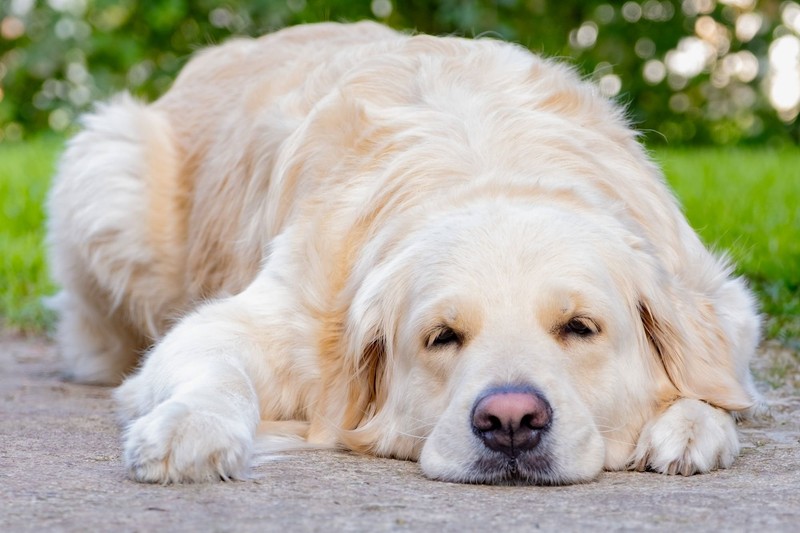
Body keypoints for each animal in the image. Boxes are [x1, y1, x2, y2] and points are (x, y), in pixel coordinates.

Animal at [45, 21, 764, 486]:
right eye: (441, 336)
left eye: (579, 328)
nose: (511, 421)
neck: (490, 166)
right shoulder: (254, 323)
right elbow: (215, 369)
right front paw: (191, 430)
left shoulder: (722, 303)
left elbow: (718, 386)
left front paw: (691, 427)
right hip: (107, 163)